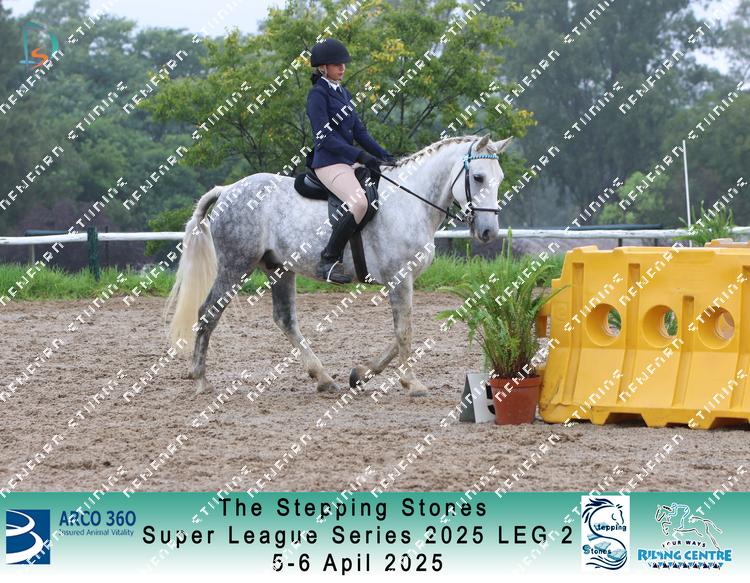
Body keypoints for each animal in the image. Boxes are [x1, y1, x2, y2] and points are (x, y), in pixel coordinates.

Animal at [164, 133, 511, 397]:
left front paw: (361, 373)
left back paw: (323, 378)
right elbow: (404, 331)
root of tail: (228, 190)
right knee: (208, 312)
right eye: (478, 177)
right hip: (235, 266)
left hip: (279, 268)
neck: (410, 203)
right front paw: (413, 383)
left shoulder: (404, 280)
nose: (488, 232)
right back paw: (200, 379)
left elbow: (400, 332)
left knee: (285, 319)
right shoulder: (399, 278)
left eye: (499, 179)